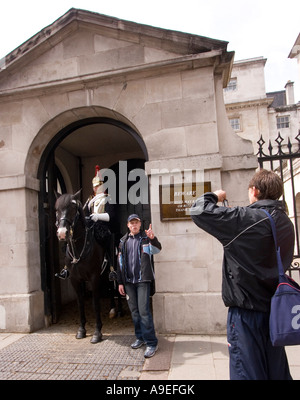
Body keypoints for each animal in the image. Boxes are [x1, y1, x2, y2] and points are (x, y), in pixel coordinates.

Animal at [55, 191, 106, 344]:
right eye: (56, 209)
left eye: (72, 209)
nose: (62, 233)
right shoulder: (75, 279)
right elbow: (80, 302)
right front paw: (81, 329)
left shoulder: (94, 278)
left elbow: (95, 303)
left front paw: (97, 332)